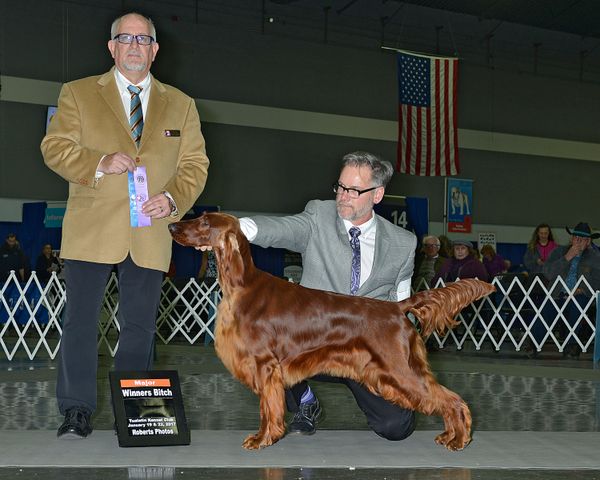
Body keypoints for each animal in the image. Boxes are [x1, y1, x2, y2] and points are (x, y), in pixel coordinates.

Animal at [168, 213, 492, 450]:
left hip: (400, 369)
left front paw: (262, 439)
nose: (172, 225)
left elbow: (267, 409)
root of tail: (398, 306)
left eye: (205, 222)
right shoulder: (273, 369)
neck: (242, 285)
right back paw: (450, 435)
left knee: (452, 399)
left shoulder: (265, 365)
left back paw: (459, 439)